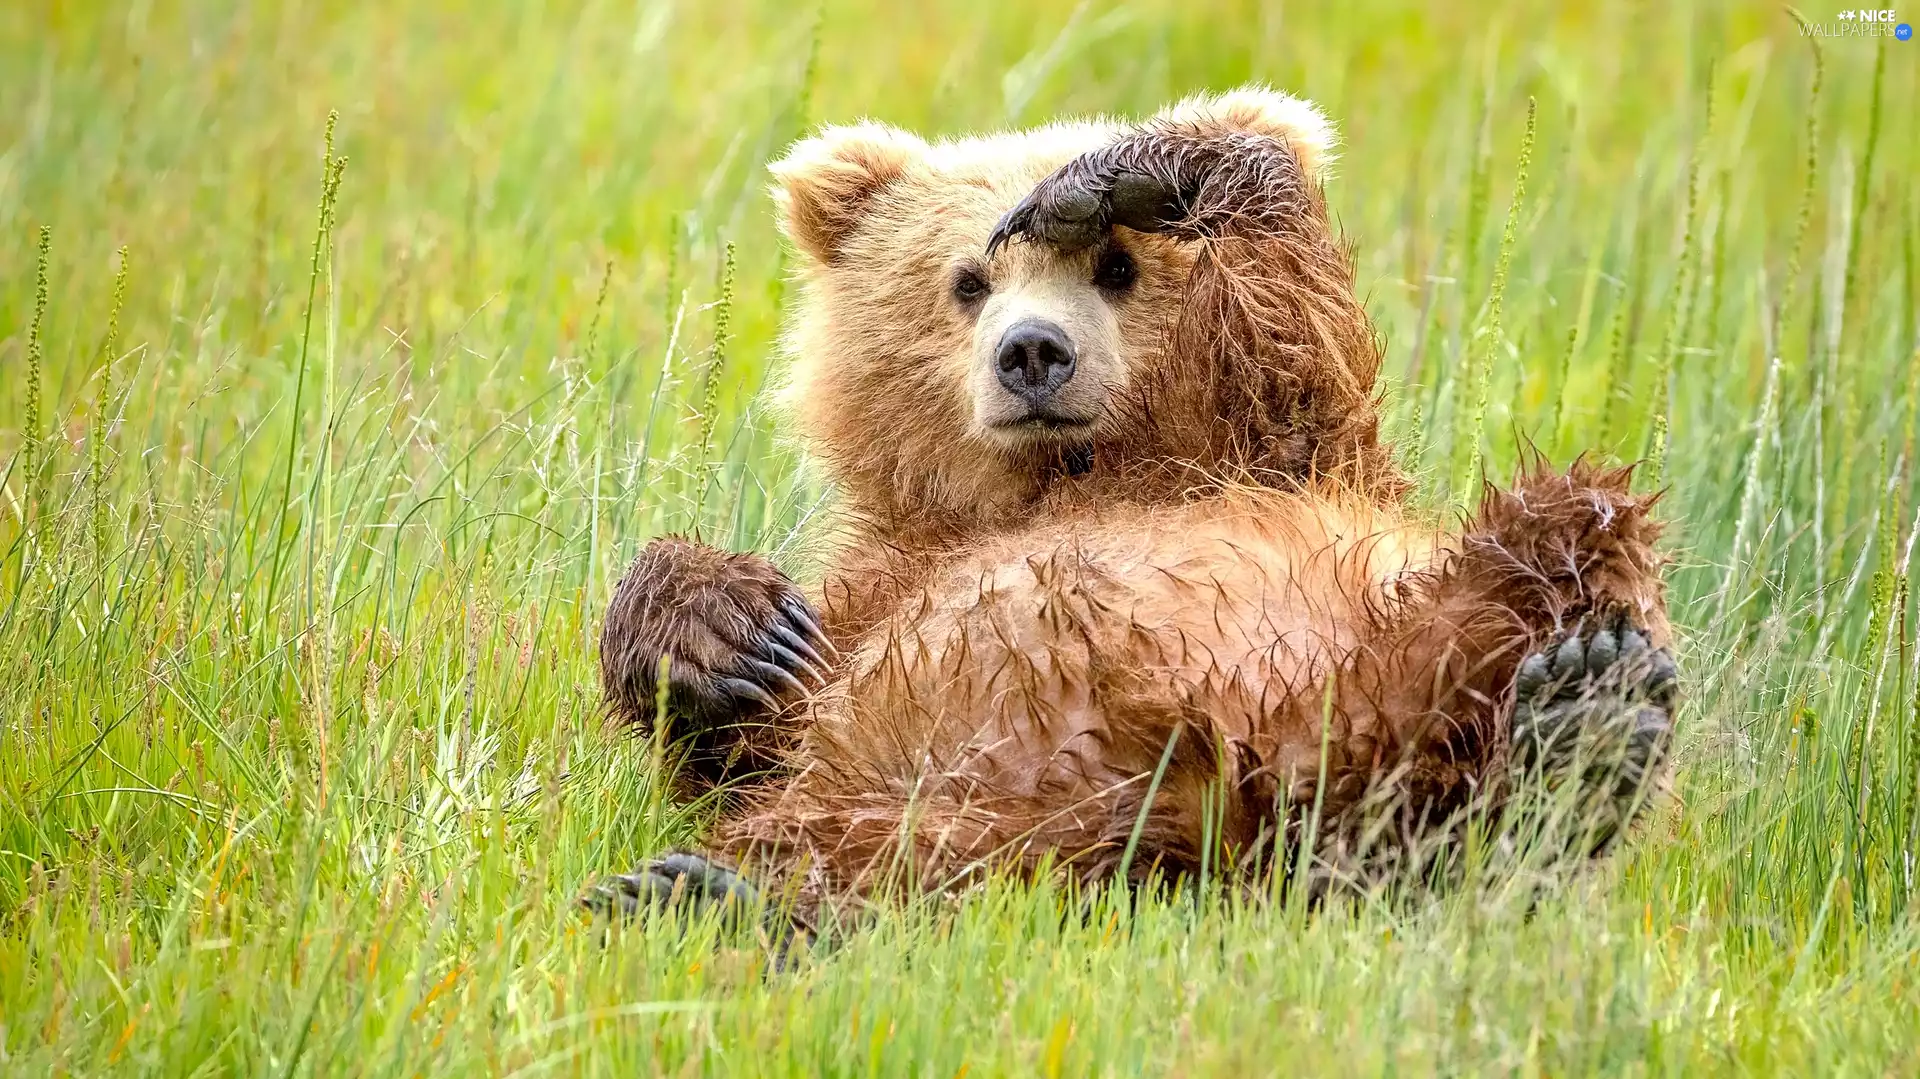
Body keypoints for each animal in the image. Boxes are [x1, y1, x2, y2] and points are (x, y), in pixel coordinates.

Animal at [590, 87, 1678, 931]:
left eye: (1118, 268)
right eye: (966, 280)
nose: (1032, 351)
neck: (1074, 473)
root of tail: (1233, 801)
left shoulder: (1292, 454)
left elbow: (1300, 329)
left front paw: (1129, 175)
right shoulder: (886, 579)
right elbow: (751, 729)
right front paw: (733, 631)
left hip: (1419, 630)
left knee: (1566, 530)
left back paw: (1586, 718)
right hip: (963, 801)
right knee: (877, 854)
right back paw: (700, 895)